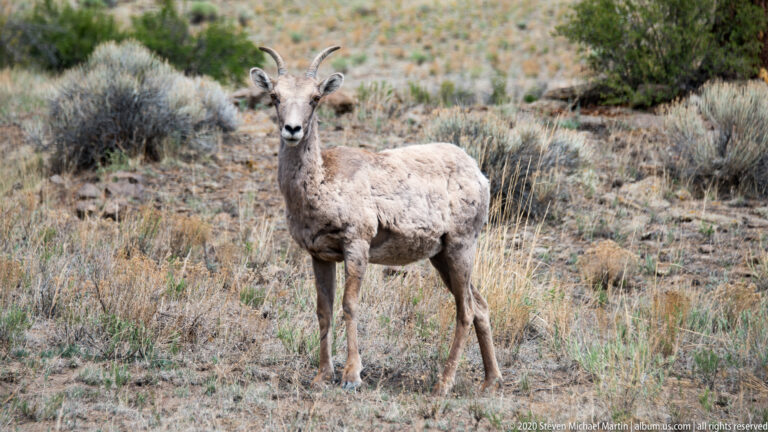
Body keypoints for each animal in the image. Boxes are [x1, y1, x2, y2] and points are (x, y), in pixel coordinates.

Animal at [250, 46, 502, 395]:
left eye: (315, 98)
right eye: (274, 96)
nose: (292, 130)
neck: (322, 182)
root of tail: (478, 173)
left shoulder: (357, 245)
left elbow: (349, 305)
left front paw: (351, 376)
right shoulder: (319, 256)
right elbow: (324, 310)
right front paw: (321, 376)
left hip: (461, 248)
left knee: (466, 310)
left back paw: (443, 384)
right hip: (441, 257)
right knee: (481, 306)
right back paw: (491, 380)